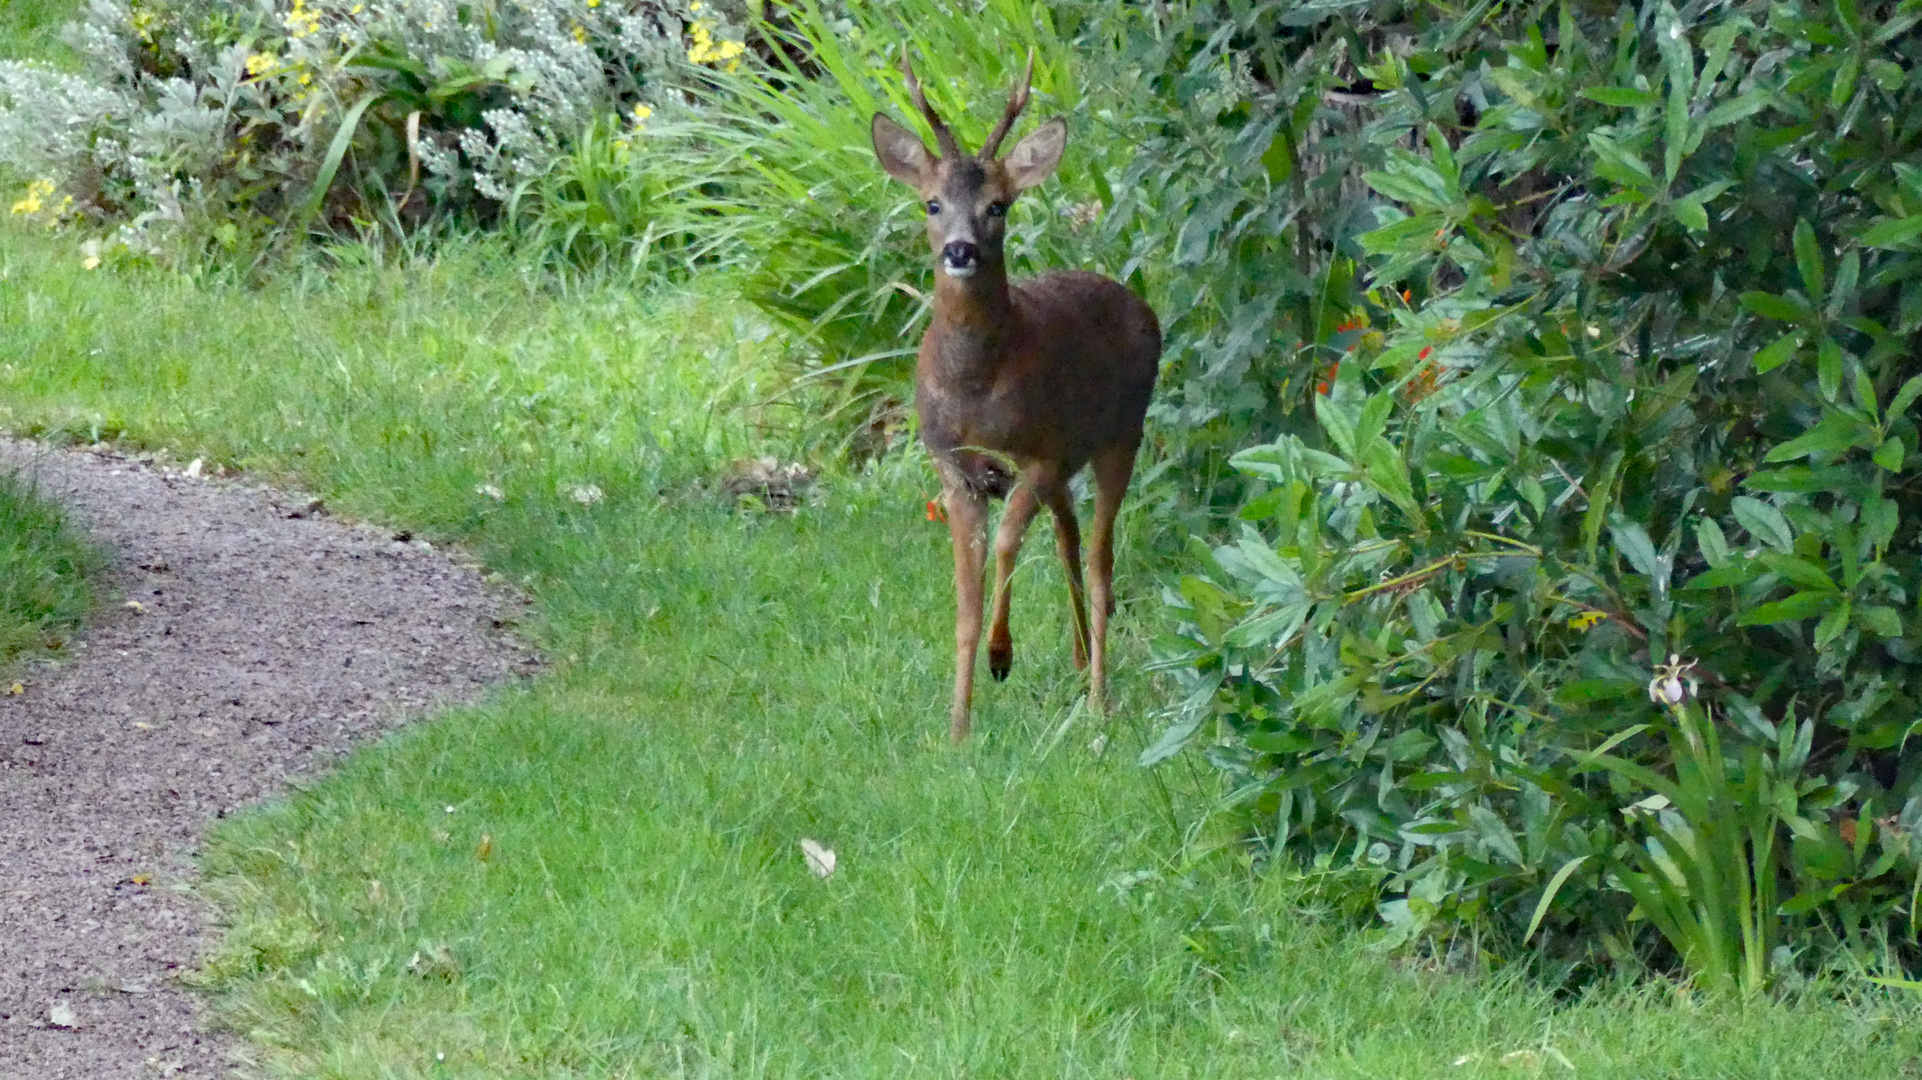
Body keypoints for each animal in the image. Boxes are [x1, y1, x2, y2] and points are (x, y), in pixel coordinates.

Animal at [880, 50, 1160, 737]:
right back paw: (1080, 660)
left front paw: (1001, 655)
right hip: (1074, 459)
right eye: (931, 204)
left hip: (1121, 435)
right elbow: (965, 596)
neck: (977, 386)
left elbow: (1006, 546)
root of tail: (1138, 300)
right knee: (1069, 538)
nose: (960, 250)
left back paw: (1098, 701)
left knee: (1100, 561)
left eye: (999, 206)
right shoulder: (951, 464)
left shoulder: (1040, 455)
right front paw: (957, 727)